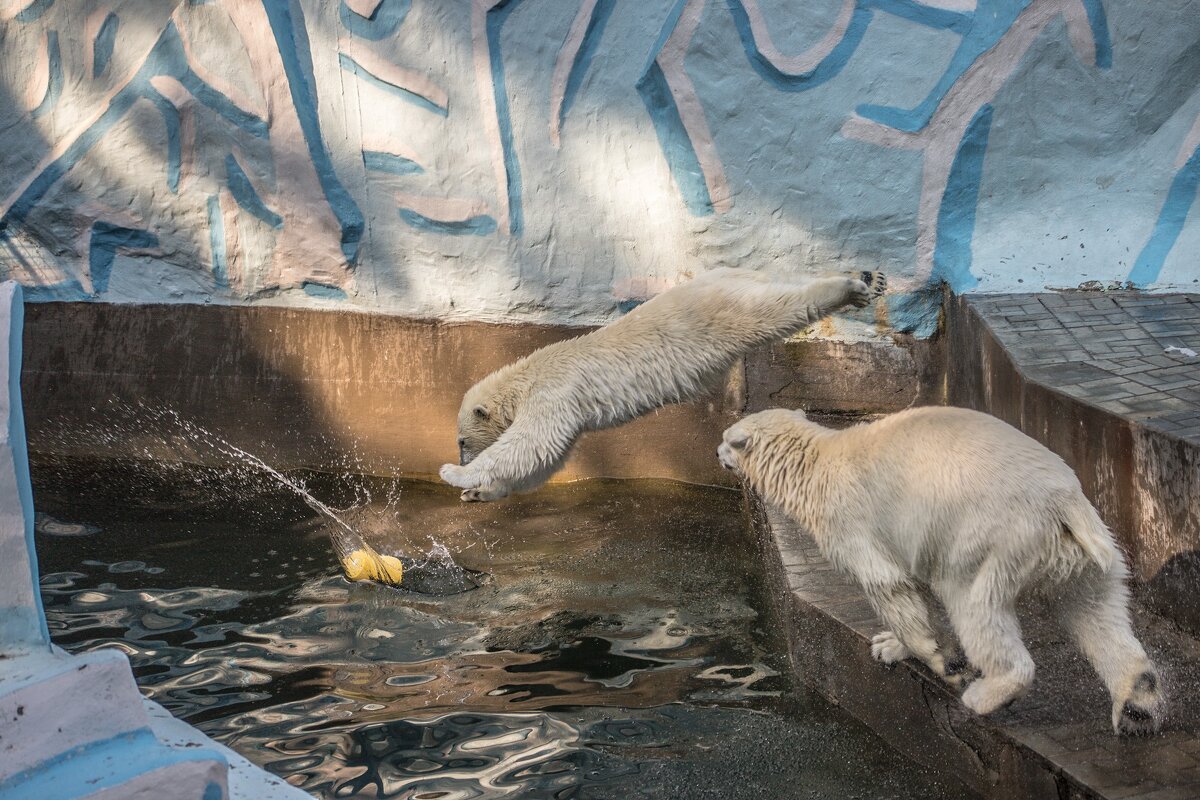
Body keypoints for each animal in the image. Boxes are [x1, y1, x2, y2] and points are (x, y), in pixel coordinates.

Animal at [441, 272, 883, 503]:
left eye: (462, 440)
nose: (458, 456)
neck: (529, 373)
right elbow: (546, 459)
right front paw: (479, 494)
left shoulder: (556, 393)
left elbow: (531, 443)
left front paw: (455, 476)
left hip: (710, 319)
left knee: (774, 308)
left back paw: (855, 285)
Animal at [715, 410, 1166, 734]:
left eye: (725, 438)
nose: (716, 453)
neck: (814, 461)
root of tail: (1063, 503)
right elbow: (912, 591)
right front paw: (888, 646)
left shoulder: (850, 521)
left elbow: (887, 584)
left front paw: (940, 660)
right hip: (1088, 555)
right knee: (1096, 613)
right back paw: (1138, 701)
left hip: (991, 539)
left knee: (977, 608)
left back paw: (984, 693)